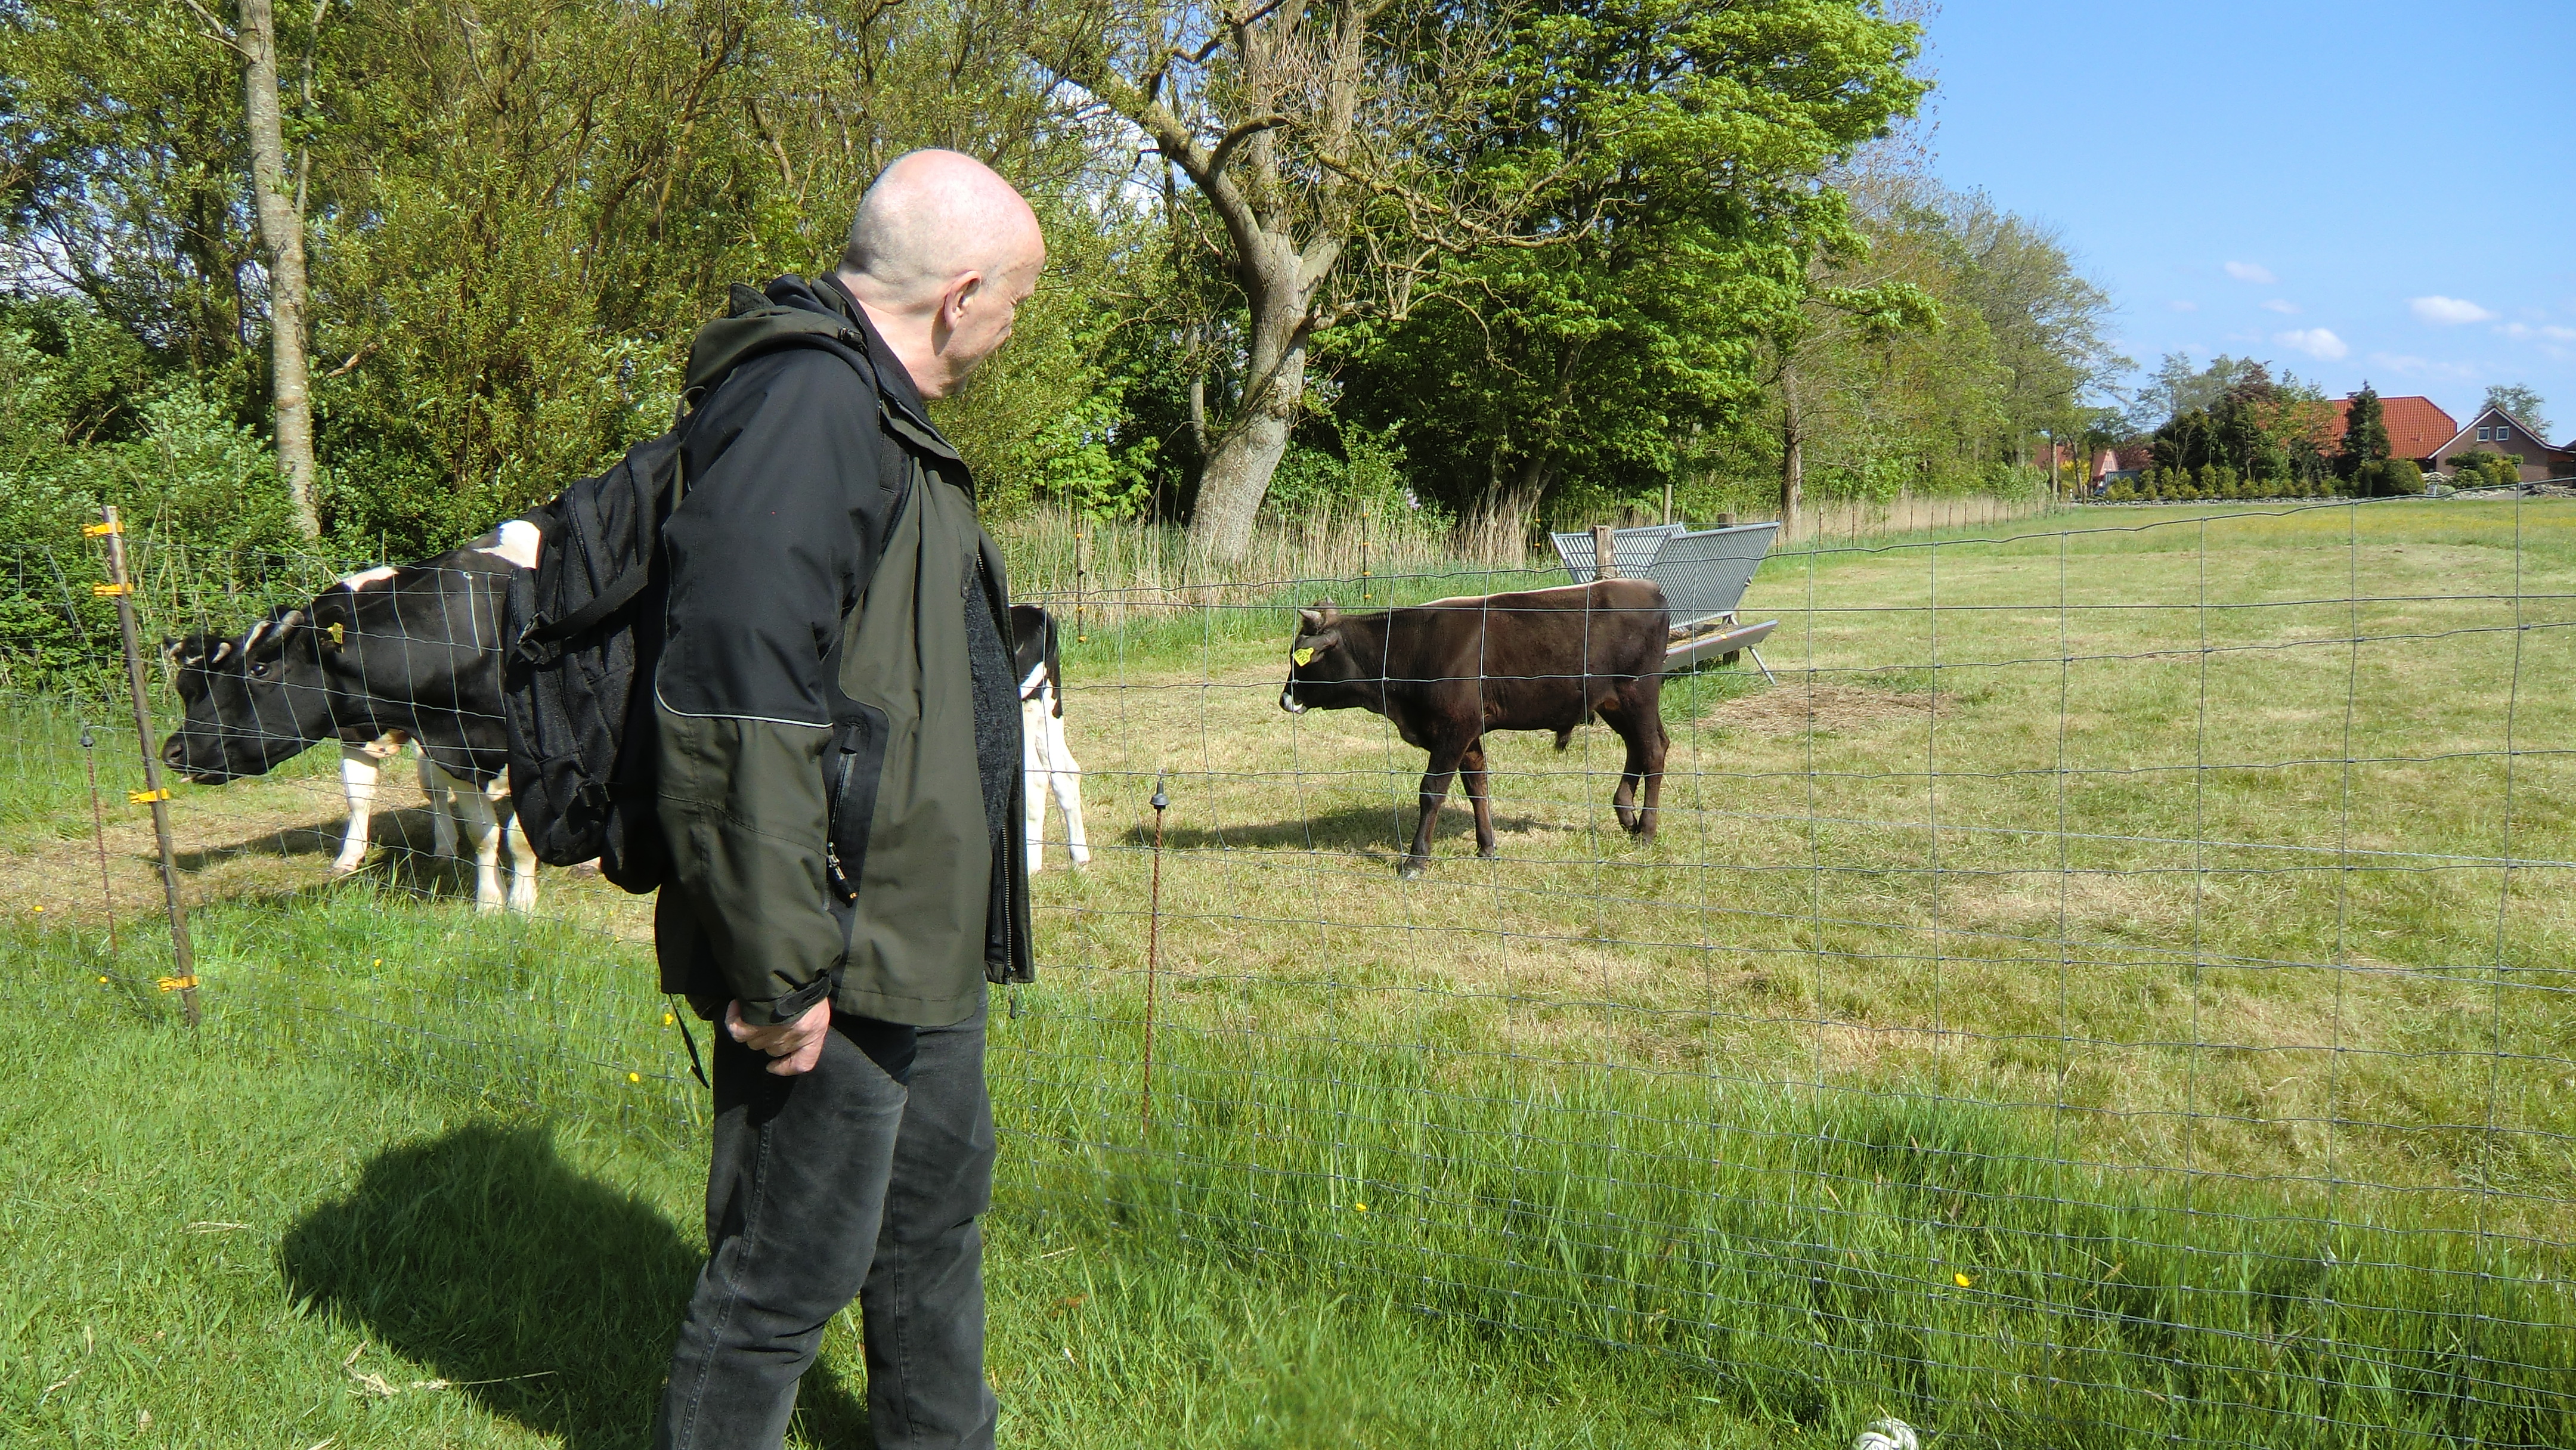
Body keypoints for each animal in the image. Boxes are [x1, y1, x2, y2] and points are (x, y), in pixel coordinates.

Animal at [162, 520, 543, 906]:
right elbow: (475, 831)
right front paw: (489, 902)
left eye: (259, 669)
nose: (174, 750)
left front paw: (522, 903)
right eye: (186, 689)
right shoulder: (433, 746)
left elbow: (519, 837)